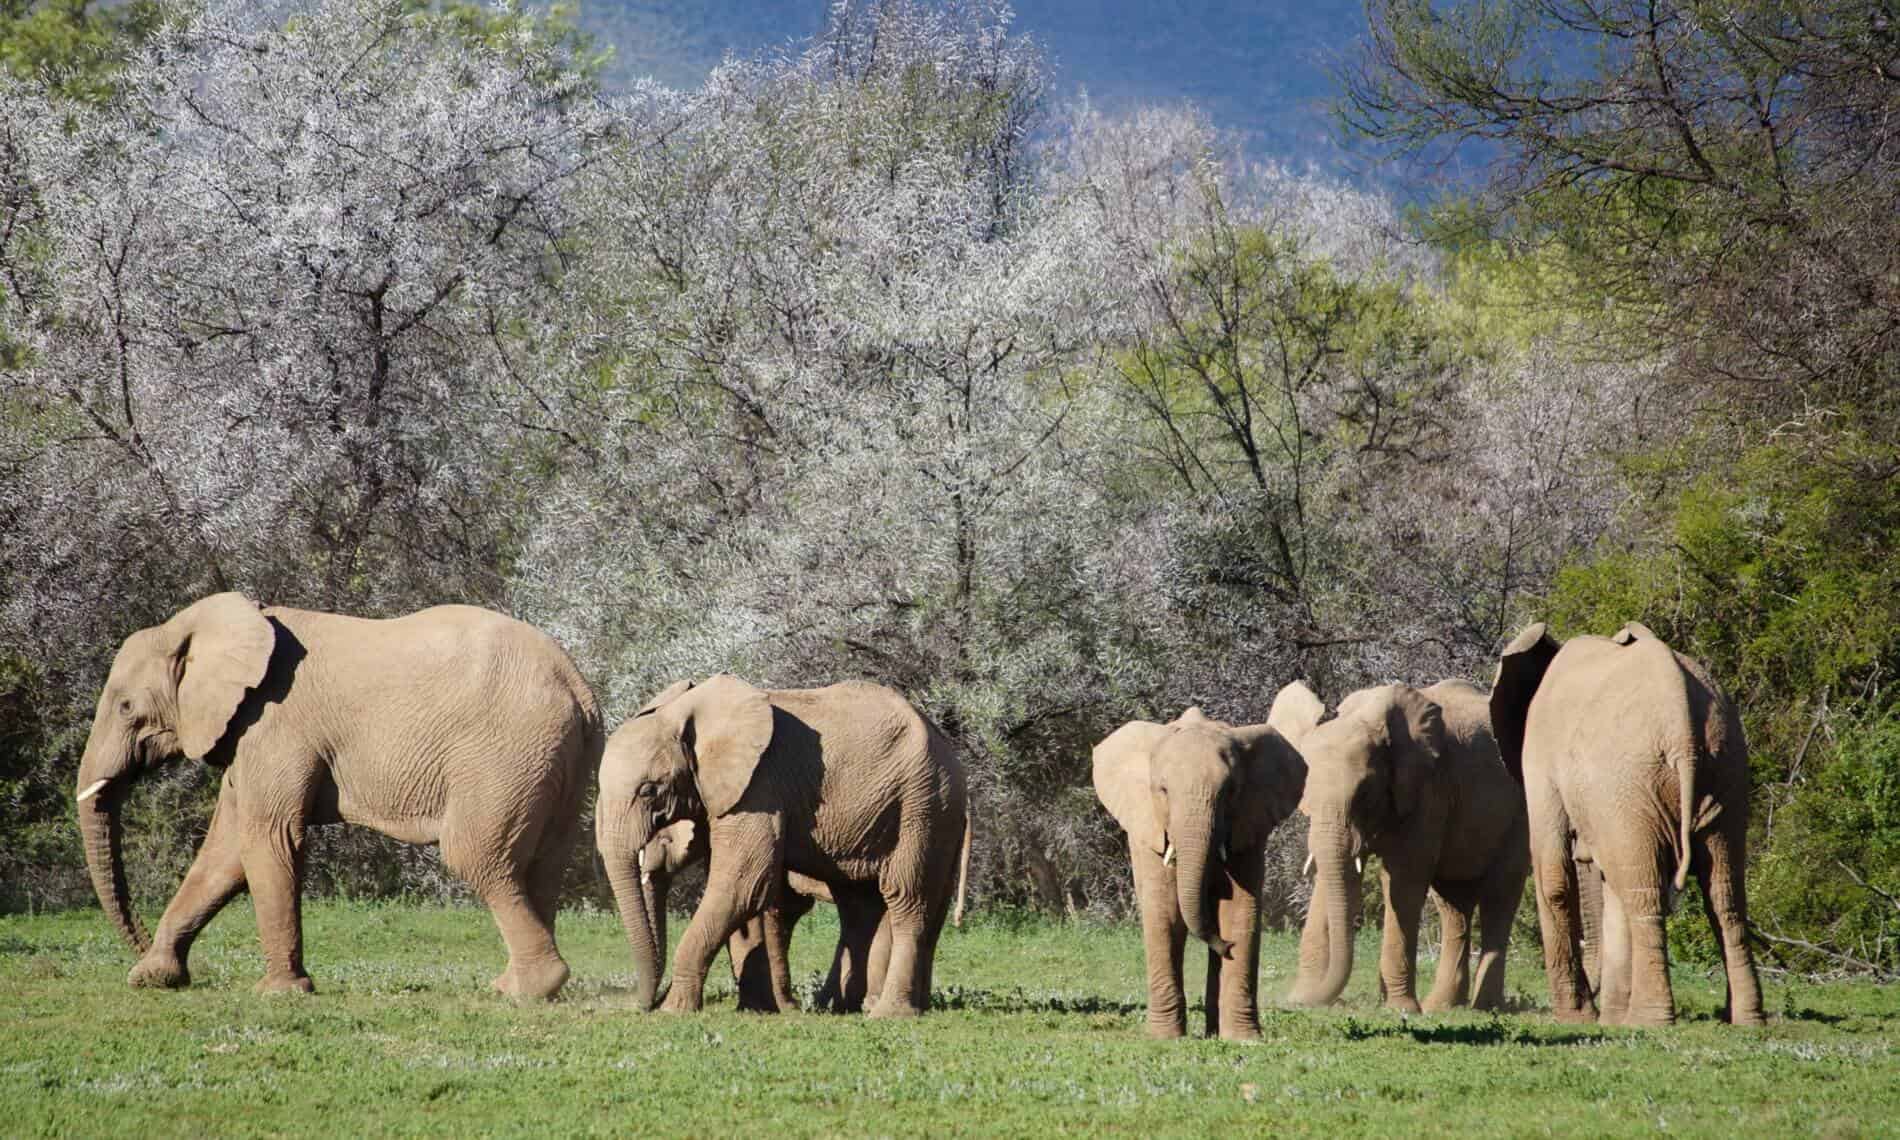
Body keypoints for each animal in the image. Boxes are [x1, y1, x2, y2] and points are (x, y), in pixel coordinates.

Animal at [74, 592, 600, 999]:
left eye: (126, 708)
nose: (138, 943)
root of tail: (577, 685)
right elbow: (224, 854)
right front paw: (152, 978)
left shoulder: (274, 726)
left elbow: (269, 838)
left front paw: (279, 994)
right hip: (553, 761)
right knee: (542, 863)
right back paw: (519, 984)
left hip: (505, 755)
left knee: (475, 855)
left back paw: (527, 990)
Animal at [596, 675, 966, 1017]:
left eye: (648, 790)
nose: (645, 1006)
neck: (688, 712)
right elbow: (745, 899)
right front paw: (756, 1009)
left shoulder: (760, 786)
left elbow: (745, 884)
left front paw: (675, 1010)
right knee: (860, 906)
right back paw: (842, 1007)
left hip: (923, 804)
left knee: (905, 898)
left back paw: (886, 1013)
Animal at [1091, 690, 1315, 1040]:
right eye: (1163, 790)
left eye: (1231, 791)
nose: (1227, 946)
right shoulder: (1147, 827)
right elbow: (1164, 911)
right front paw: (1164, 1038)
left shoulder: (1249, 824)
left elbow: (1239, 908)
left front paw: (1244, 1039)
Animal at [1283, 680, 1529, 1013]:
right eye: (1305, 793)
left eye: (1365, 793)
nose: (1302, 1002)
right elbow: (1334, 875)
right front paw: (1302, 997)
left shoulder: (1429, 789)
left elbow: (1403, 881)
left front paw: (1401, 1009)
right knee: (1453, 904)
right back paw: (1442, 1006)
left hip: (1521, 812)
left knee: (1499, 894)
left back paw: (1485, 1007)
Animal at [1493, 620, 1764, 1026]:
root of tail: (1681, 729)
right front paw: (1605, 1019)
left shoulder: (1540, 756)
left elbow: (1553, 874)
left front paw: (1577, 1018)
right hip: (1724, 767)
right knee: (1724, 896)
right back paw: (1745, 1019)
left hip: (1632, 780)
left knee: (1646, 895)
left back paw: (1647, 1020)